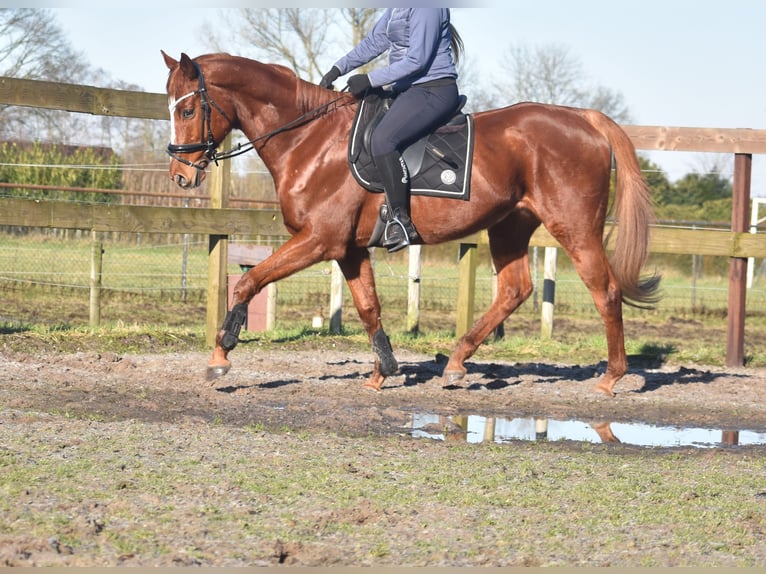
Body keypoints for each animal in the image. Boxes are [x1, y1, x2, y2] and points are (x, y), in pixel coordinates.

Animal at [162, 51, 660, 398]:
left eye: (187, 111)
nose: (181, 176)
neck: (310, 139)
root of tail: (583, 119)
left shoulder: (319, 240)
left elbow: (249, 283)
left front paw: (221, 353)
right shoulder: (349, 248)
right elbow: (368, 308)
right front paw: (383, 372)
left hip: (573, 226)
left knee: (604, 290)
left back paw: (611, 378)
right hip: (510, 226)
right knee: (515, 289)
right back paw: (456, 363)